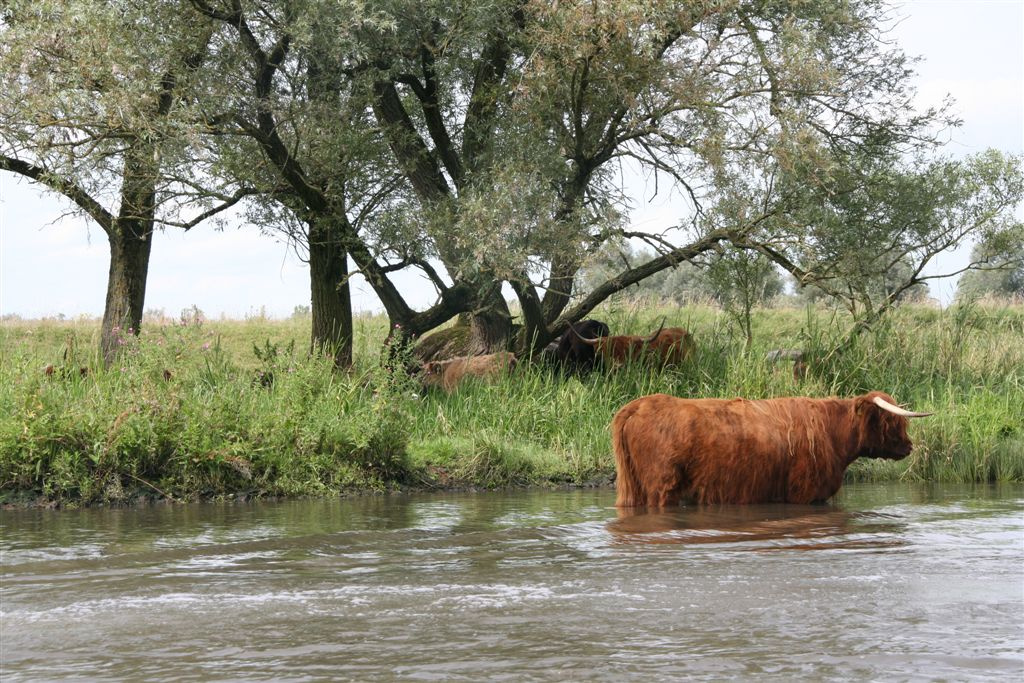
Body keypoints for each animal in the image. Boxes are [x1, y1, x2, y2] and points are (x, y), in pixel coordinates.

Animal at [610, 389, 933, 507]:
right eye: (892, 420)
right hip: (661, 487)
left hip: (633, 488)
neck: (833, 434)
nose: (909, 446)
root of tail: (637, 405)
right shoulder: (806, 493)